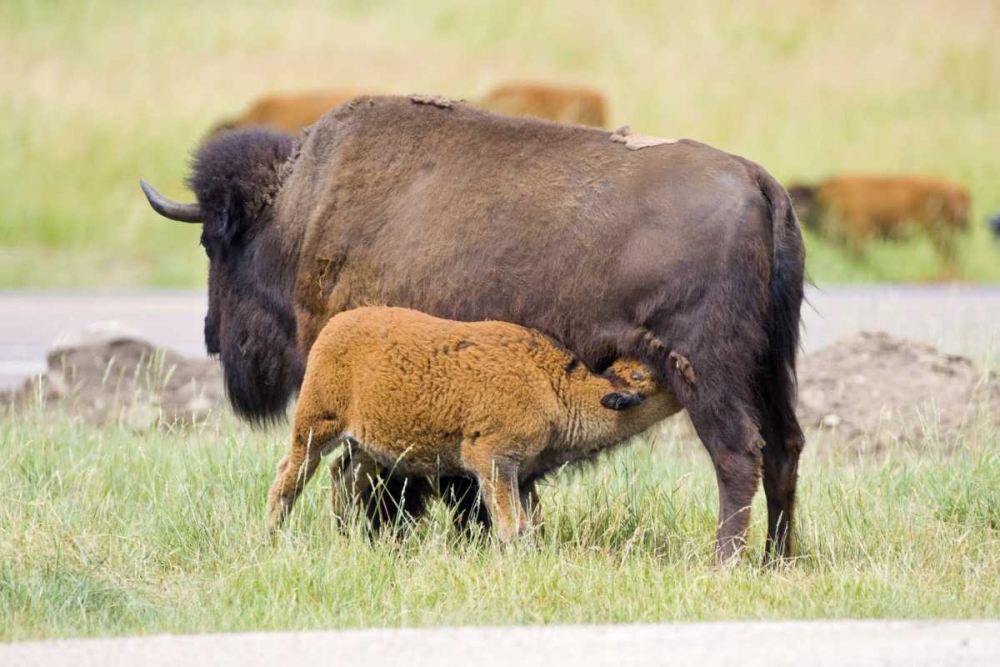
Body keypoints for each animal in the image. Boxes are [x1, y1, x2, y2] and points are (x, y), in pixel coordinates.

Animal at [140, 95, 806, 562]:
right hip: (772, 367)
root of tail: (760, 184)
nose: (211, 334)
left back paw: (726, 562)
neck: (300, 214)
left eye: (215, 243)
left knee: (737, 454)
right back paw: (777, 560)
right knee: (785, 449)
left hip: (707, 374)